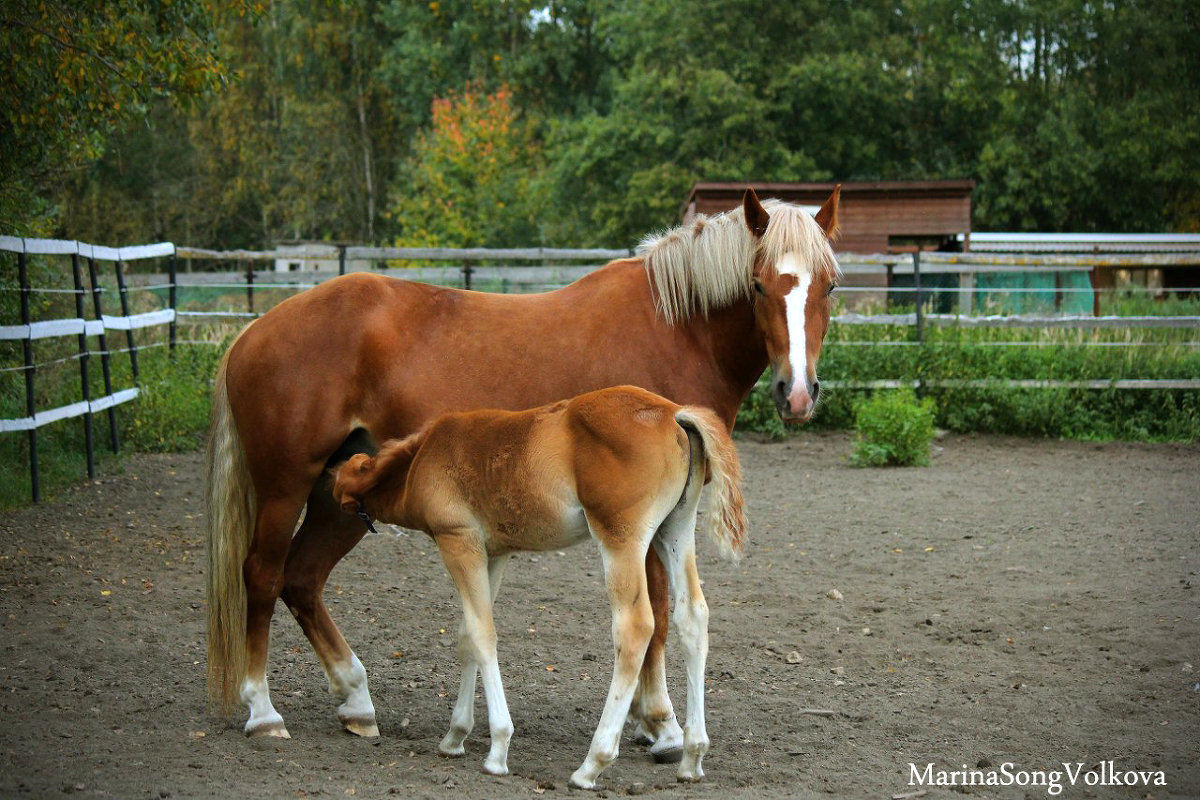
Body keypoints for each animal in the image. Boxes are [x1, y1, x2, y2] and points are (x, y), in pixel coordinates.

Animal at [328, 388, 739, 786]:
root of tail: (673, 413)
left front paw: (497, 750)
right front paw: (454, 736)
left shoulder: (458, 542)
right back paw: (692, 758)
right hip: (675, 529)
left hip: (621, 538)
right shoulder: (493, 554)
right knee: (692, 617)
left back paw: (592, 765)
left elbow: (482, 634)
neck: (423, 458)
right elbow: (466, 637)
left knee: (635, 628)